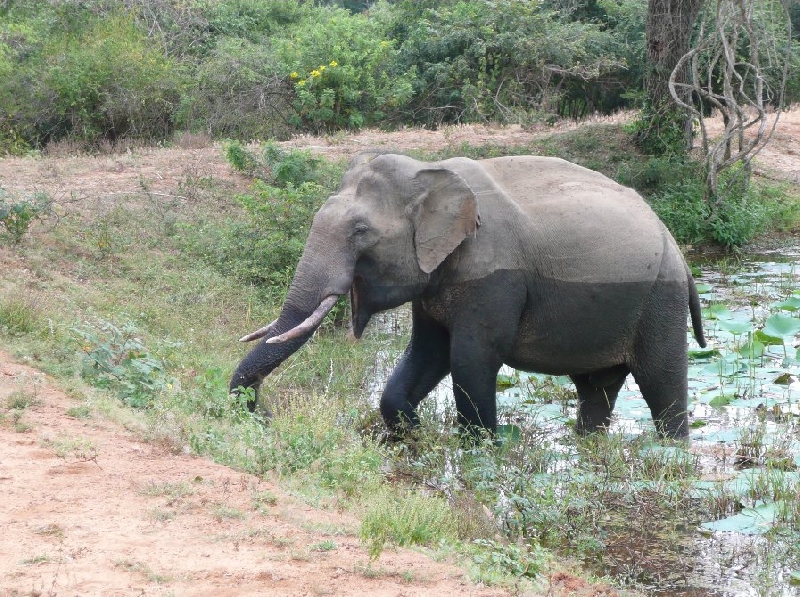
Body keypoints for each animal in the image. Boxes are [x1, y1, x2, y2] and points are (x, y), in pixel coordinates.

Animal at [231, 151, 708, 440]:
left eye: (360, 231)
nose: (263, 414)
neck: (431, 172)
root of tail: (680, 254)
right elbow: (428, 353)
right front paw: (412, 432)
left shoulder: (493, 278)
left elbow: (469, 359)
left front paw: (477, 450)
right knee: (597, 388)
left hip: (660, 301)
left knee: (662, 382)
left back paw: (672, 454)